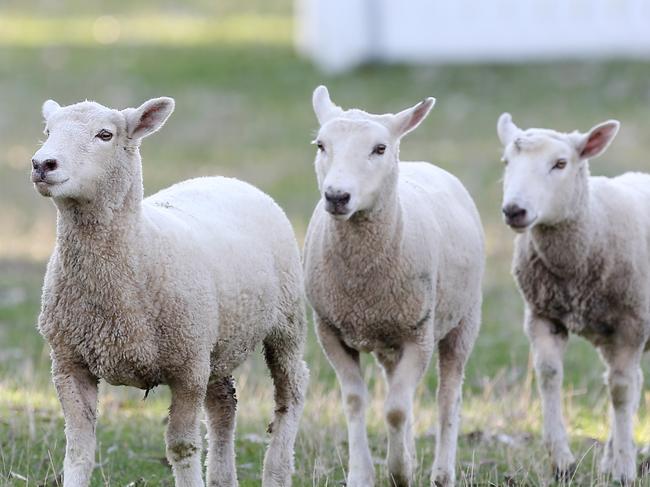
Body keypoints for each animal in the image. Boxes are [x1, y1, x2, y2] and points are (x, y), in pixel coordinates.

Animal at [31, 96, 310, 487]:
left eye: (105, 135)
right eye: (47, 131)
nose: (42, 164)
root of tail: (224, 177)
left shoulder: (187, 369)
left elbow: (181, 447)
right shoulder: (69, 363)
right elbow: (79, 450)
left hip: (285, 320)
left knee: (292, 388)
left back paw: (277, 469)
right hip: (215, 341)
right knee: (224, 406)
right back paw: (222, 477)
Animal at [302, 87, 480, 487]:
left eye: (379, 149)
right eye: (321, 145)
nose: (336, 196)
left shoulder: (419, 333)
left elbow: (396, 410)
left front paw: (400, 471)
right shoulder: (330, 330)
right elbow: (356, 401)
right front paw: (362, 474)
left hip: (463, 321)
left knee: (448, 396)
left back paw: (441, 472)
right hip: (388, 335)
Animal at [496, 114, 648, 484]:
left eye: (560, 164)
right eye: (507, 162)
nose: (514, 210)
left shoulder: (632, 322)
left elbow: (620, 390)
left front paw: (625, 469)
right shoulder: (542, 315)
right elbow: (549, 374)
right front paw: (562, 462)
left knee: (626, 383)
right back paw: (609, 458)